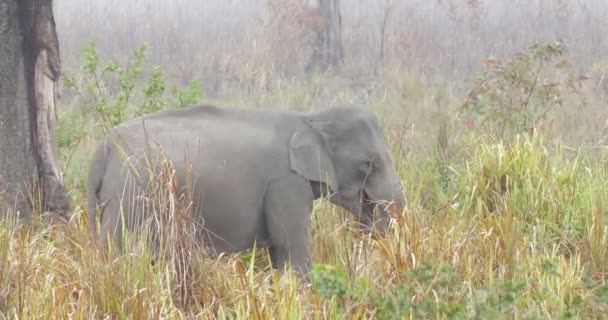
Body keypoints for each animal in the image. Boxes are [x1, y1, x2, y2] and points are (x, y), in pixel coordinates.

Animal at [85, 104, 406, 276]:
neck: (309, 118)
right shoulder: (285, 185)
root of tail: (102, 150)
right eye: (370, 164)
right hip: (129, 196)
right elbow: (290, 248)